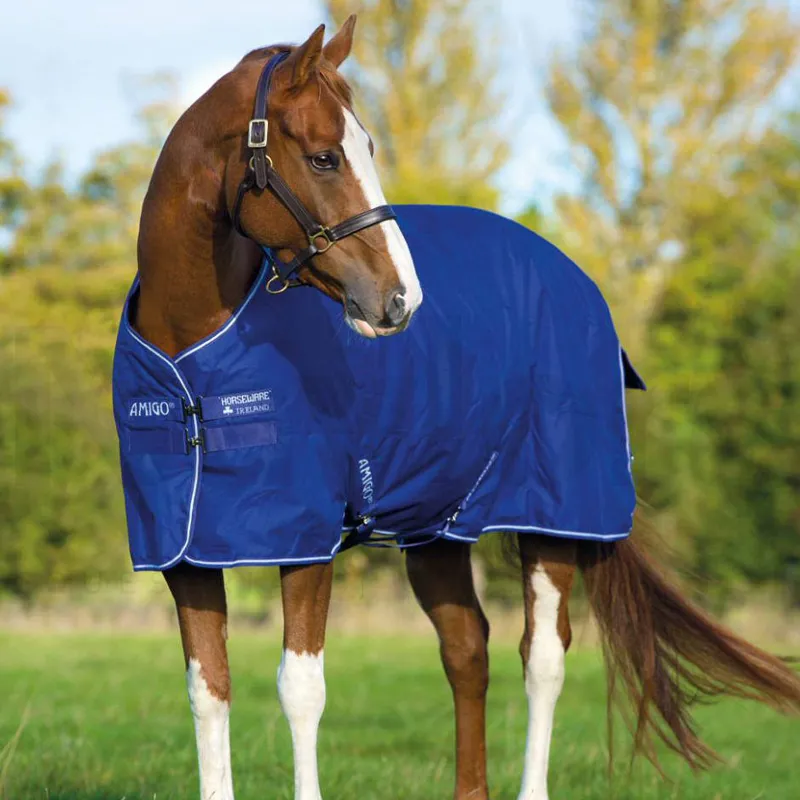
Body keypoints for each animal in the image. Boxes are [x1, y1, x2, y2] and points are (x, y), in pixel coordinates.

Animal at [116, 17, 800, 800]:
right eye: (323, 157)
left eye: (366, 149)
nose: (400, 299)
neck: (191, 365)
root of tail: (575, 277)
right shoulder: (186, 552)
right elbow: (210, 690)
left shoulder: (307, 540)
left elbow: (300, 689)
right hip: (437, 529)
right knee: (467, 647)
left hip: (552, 516)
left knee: (545, 658)